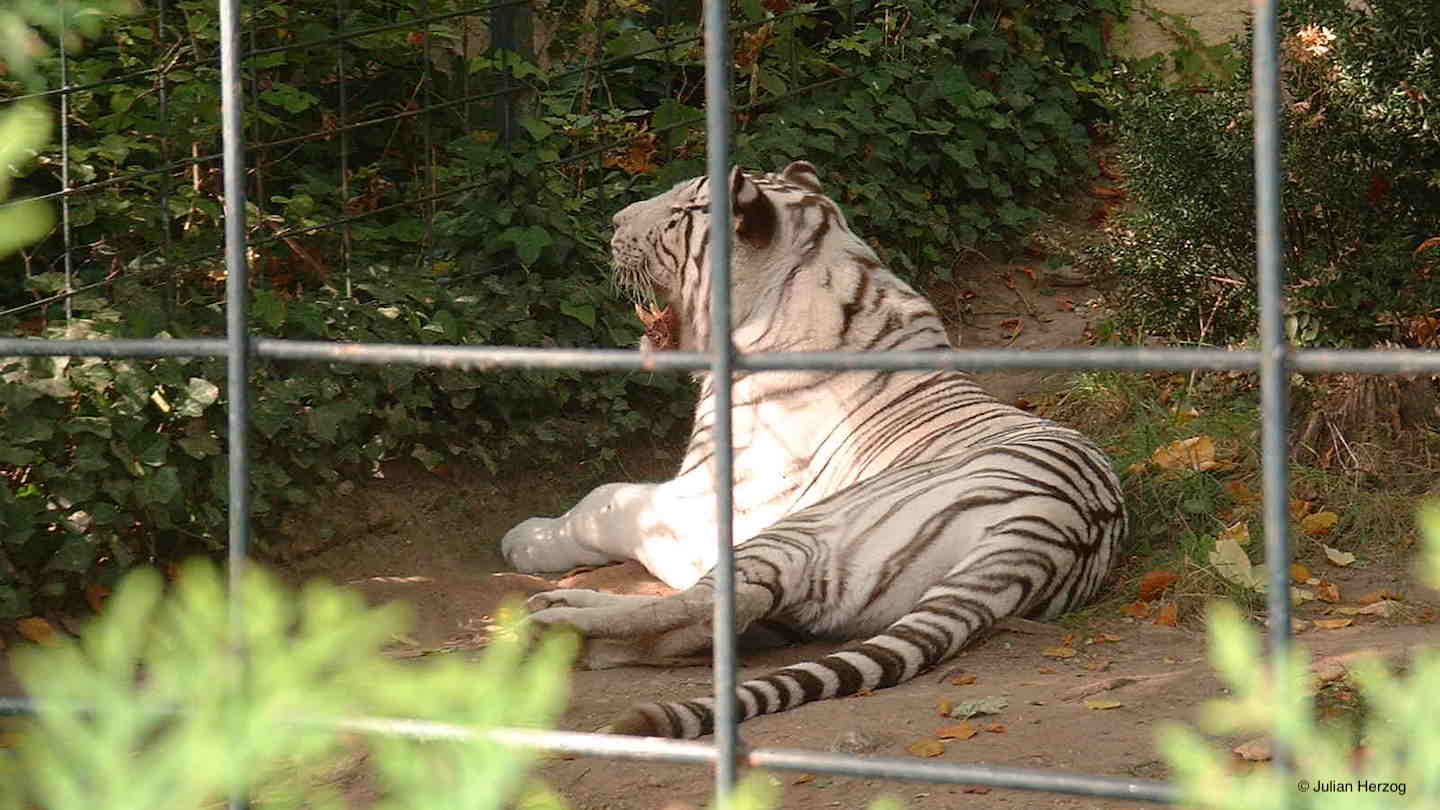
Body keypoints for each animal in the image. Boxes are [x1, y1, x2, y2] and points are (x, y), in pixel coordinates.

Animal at [504, 162, 1123, 737]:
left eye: (680, 210)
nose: (613, 222)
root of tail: (1046, 534)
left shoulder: (705, 503)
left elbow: (608, 500)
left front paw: (527, 540)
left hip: (805, 529)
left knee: (720, 601)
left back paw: (550, 619)